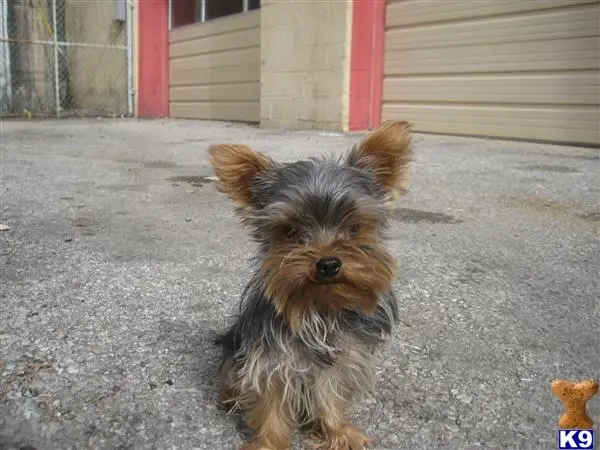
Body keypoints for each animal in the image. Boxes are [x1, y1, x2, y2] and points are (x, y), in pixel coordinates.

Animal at [210, 120, 412, 450]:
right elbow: (271, 406)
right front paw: (268, 444)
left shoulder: (342, 359)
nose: (328, 264)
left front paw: (337, 432)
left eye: (354, 227)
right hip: (236, 345)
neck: (320, 307)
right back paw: (229, 396)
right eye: (290, 231)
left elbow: (330, 395)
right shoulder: (271, 360)